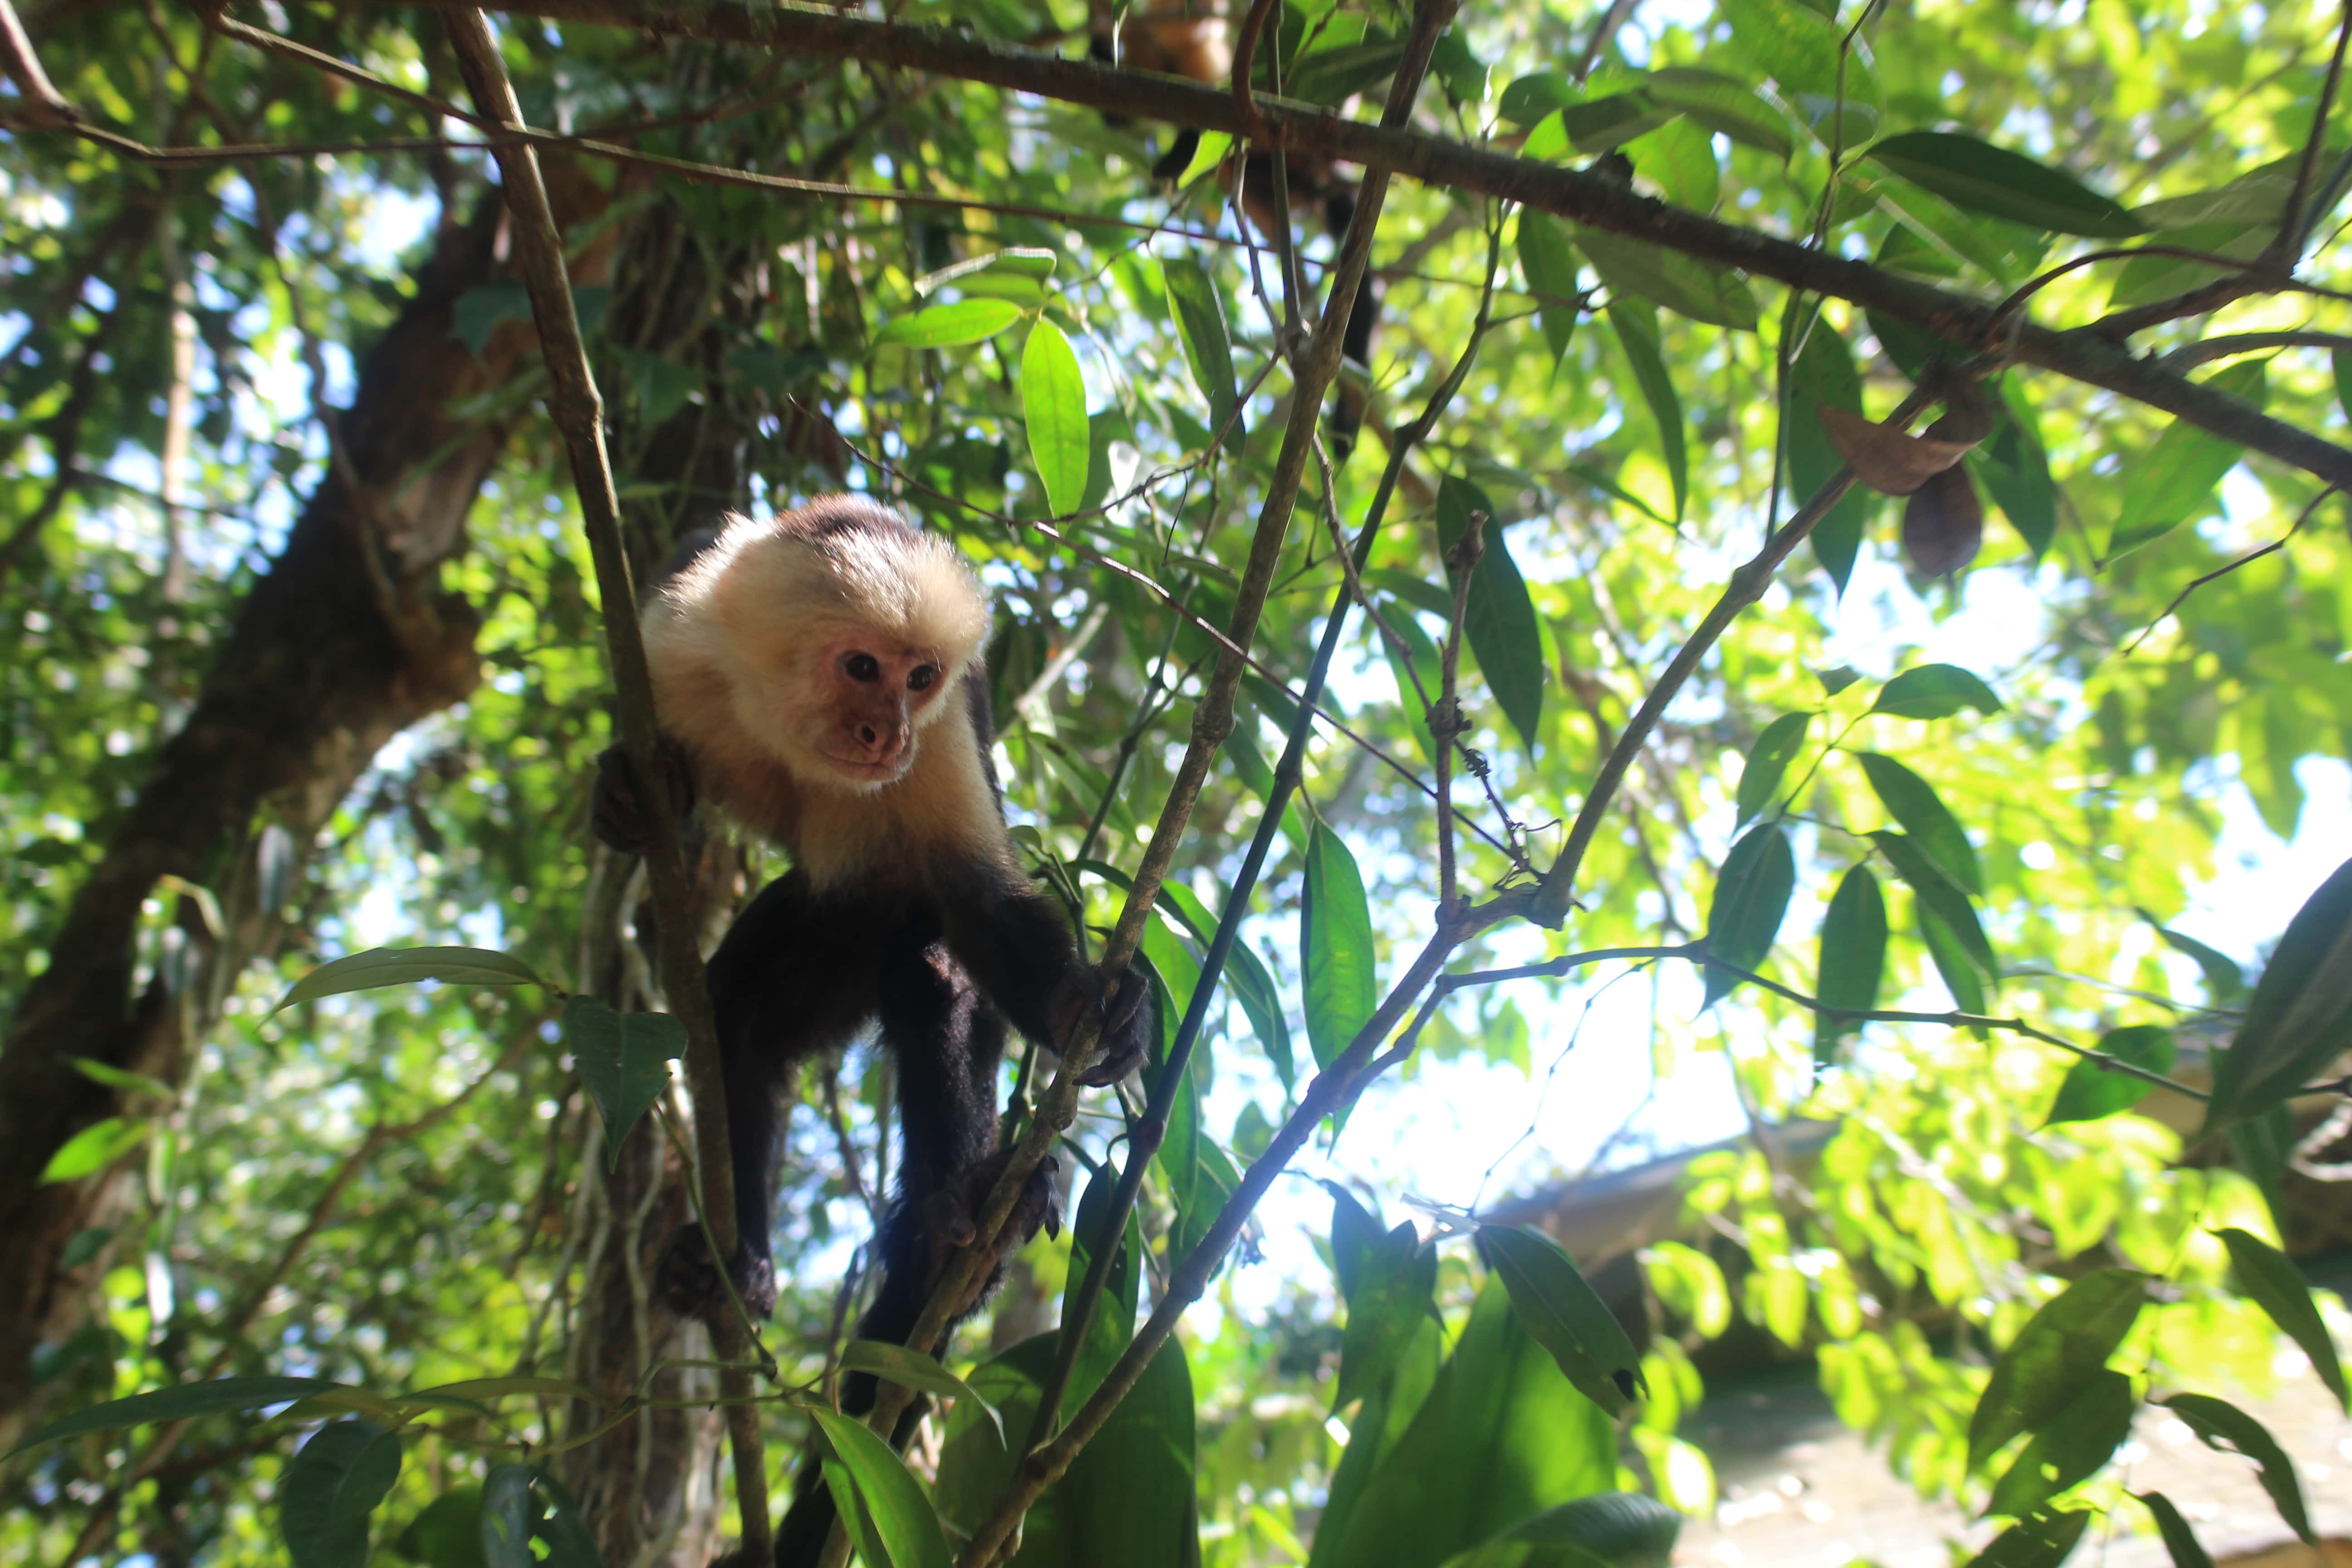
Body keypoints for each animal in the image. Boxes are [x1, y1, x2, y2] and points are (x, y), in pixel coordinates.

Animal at [593, 496, 1152, 1561]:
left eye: (920, 678)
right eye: (861, 667)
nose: (885, 728)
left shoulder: (939, 744)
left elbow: (981, 909)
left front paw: (1087, 1010)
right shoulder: (671, 635)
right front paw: (634, 798)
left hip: (884, 886)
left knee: (933, 972)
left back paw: (954, 1230)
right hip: (833, 917)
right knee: (741, 1027)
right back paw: (730, 1264)